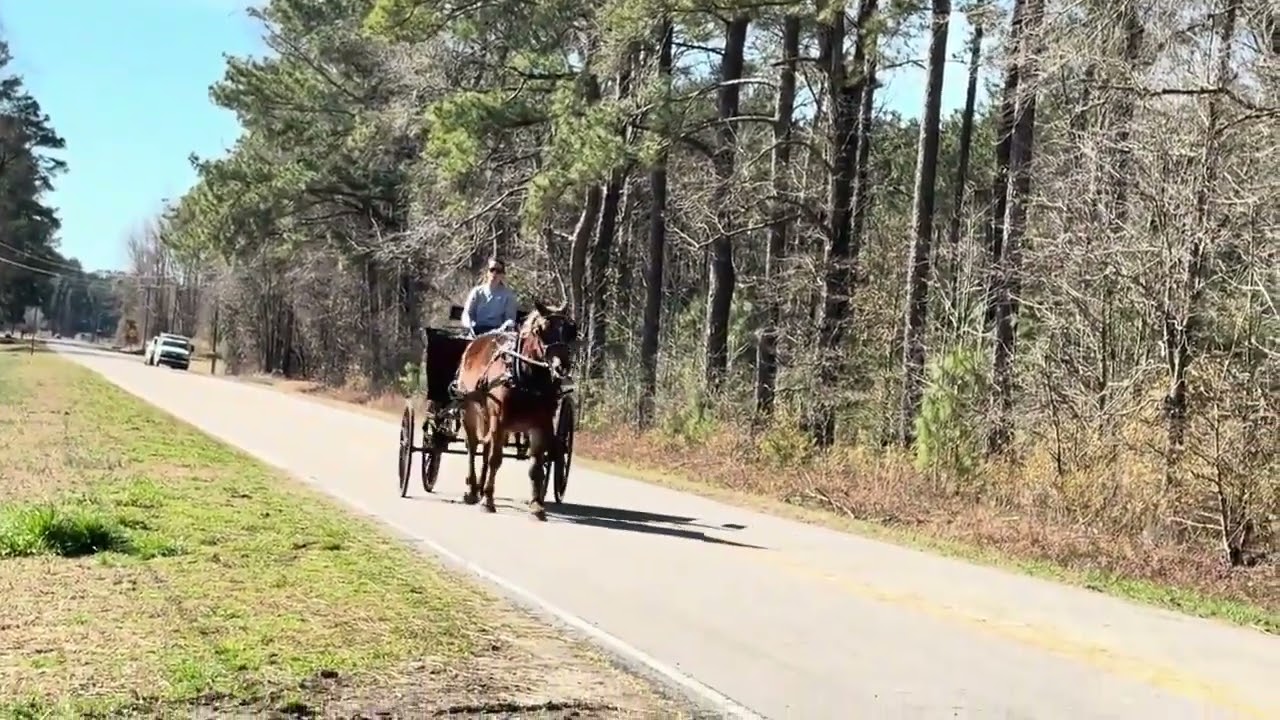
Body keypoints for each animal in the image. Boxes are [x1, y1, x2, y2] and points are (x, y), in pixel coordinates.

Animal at [454, 300, 578, 520]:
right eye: (541, 330)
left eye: (570, 330)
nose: (561, 366)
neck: (528, 379)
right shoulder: (499, 420)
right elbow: (495, 460)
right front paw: (488, 500)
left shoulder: (541, 424)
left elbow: (536, 465)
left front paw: (537, 506)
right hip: (469, 411)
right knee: (473, 447)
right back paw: (472, 490)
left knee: (484, 449)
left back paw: (480, 487)